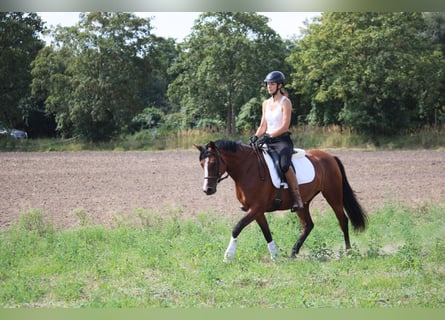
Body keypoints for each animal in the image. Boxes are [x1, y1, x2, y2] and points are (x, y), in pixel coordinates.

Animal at [195, 140, 368, 262]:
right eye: (202, 164)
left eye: (213, 163)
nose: (207, 190)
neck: (247, 169)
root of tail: (330, 156)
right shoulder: (256, 211)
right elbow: (266, 232)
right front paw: (275, 255)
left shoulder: (256, 209)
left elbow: (237, 228)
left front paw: (228, 256)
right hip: (303, 203)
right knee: (308, 225)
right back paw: (293, 253)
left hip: (333, 195)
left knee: (343, 220)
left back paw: (348, 252)